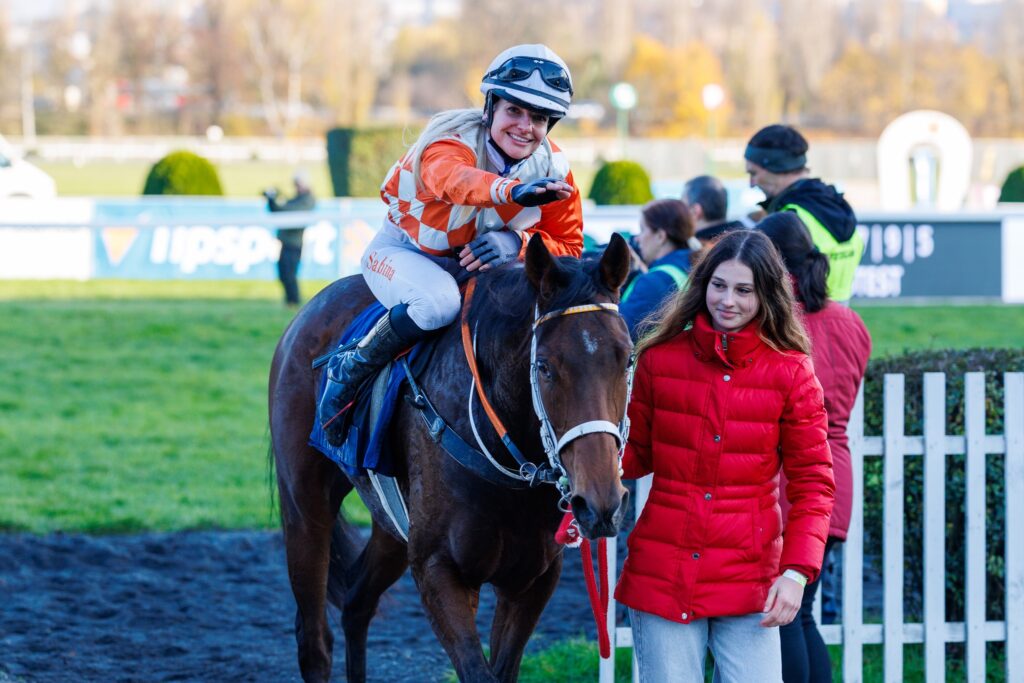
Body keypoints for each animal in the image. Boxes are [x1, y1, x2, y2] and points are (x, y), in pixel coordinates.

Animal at [269, 233, 633, 683]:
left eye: (628, 358)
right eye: (545, 367)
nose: (600, 503)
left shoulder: (532, 578)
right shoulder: (439, 569)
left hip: (391, 525)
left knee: (356, 603)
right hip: (306, 509)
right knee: (314, 641)